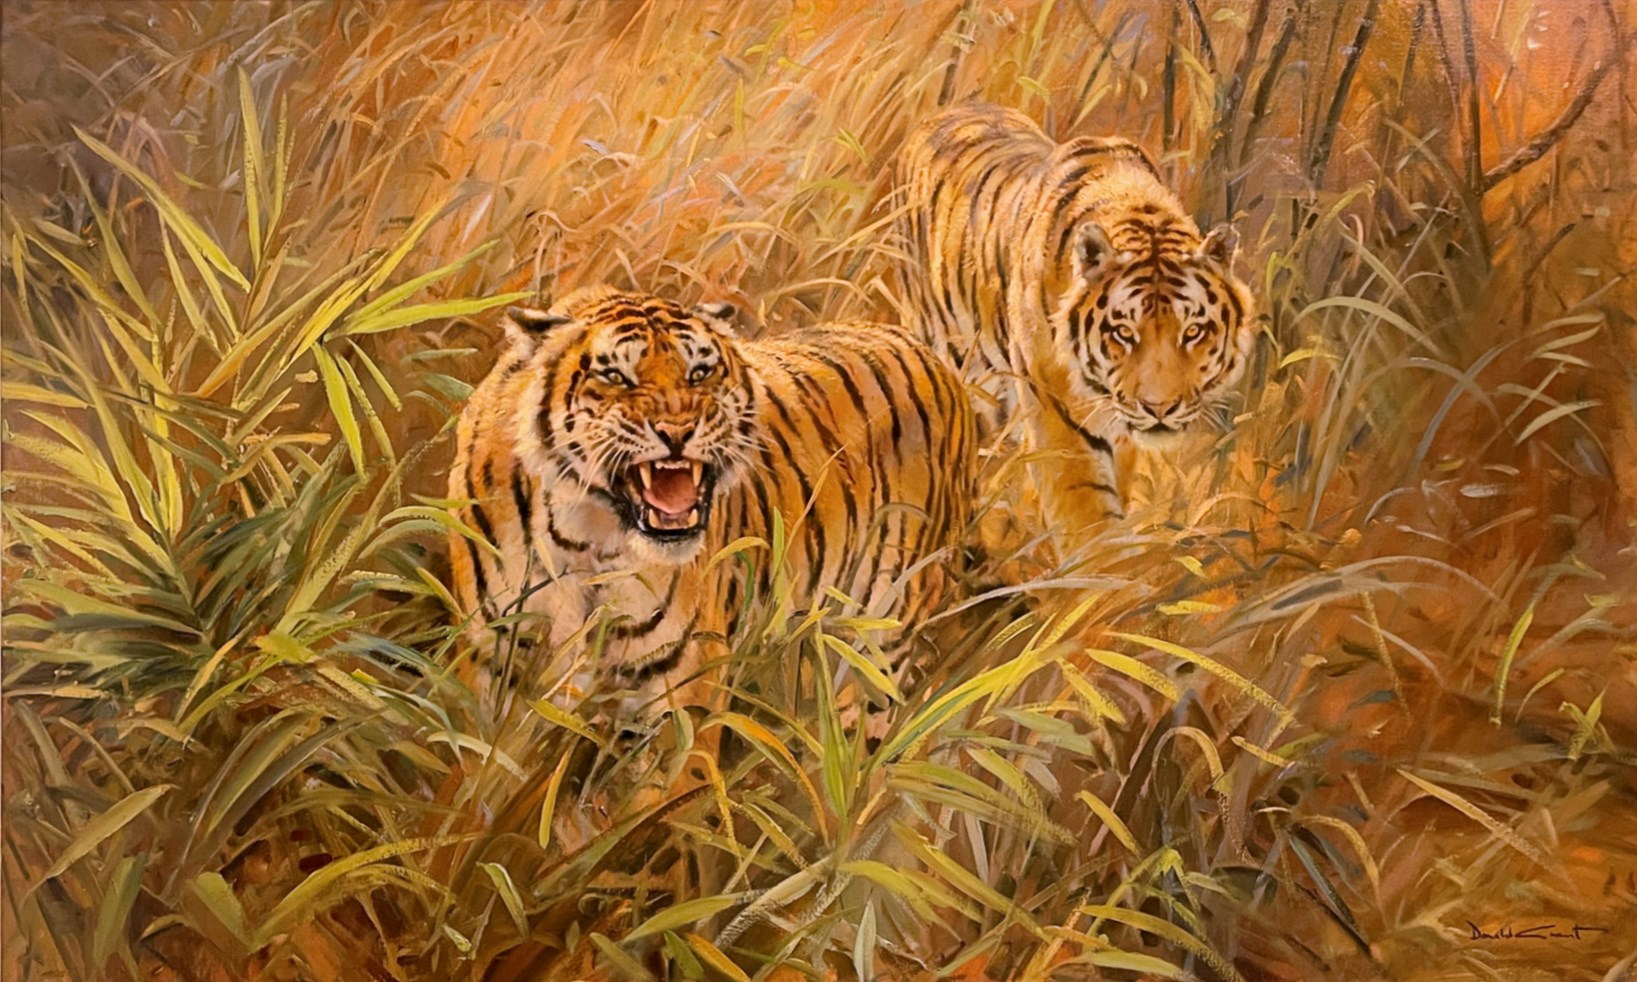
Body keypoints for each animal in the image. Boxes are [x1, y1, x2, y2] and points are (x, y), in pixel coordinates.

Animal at [446, 285, 975, 715]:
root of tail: (921, 347)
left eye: (700, 371)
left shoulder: (681, 688)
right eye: (616, 376)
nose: (679, 431)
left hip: (881, 640)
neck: (586, 538)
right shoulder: (489, 662)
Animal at [893, 103, 1254, 557]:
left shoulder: (1120, 437)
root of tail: (949, 111)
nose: (1159, 409)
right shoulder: (1062, 426)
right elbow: (1091, 528)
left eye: (1192, 332)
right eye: (1123, 333)